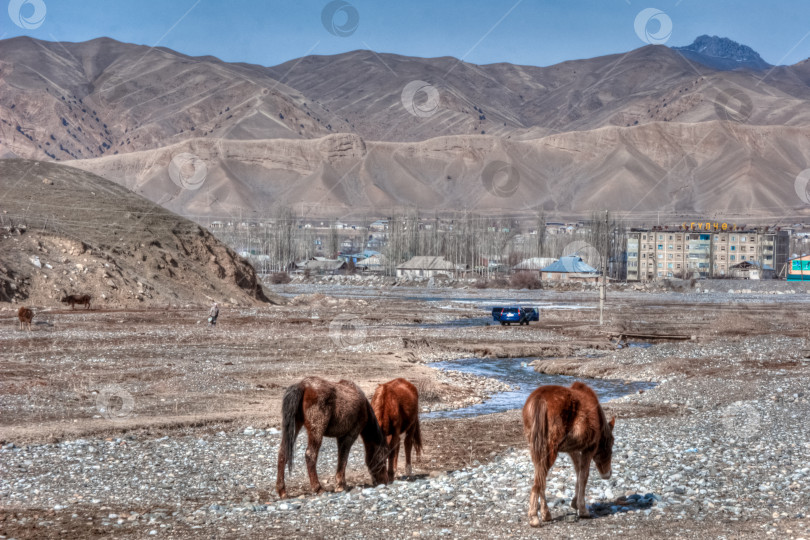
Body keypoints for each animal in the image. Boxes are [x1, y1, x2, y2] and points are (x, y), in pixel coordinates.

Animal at [520, 380, 616, 528]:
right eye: (611, 442)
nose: (607, 474)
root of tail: (539, 399)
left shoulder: (572, 450)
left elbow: (578, 472)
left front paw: (575, 503)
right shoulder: (589, 448)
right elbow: (583, 476)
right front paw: (582, 509)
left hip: (536, 448)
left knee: (540, 479)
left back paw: (545, 514)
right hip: (549, 450)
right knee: (539, 480)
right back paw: (535, 517)